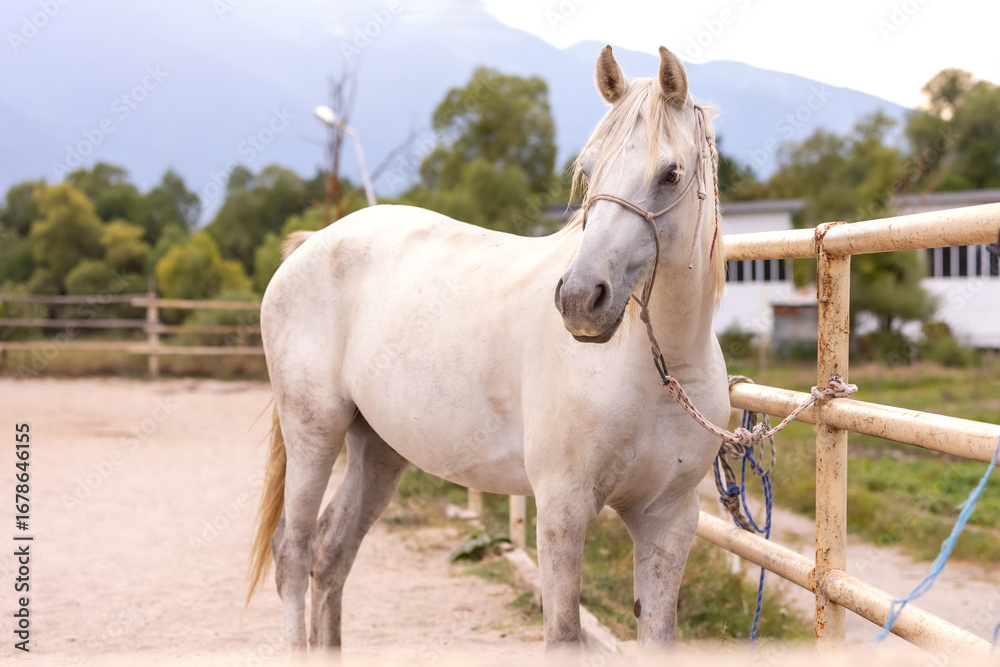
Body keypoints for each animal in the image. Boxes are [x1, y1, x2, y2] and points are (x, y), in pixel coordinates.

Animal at [247, 44, 729, 653]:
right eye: (588, 168)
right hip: (313, 433)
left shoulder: (668, 519)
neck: (660, 373)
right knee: (293, 553)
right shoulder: (563, 509)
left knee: (332, 553)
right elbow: (562, 635)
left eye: (671, 174)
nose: (580, 299)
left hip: (377, 448)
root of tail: (312, 244)